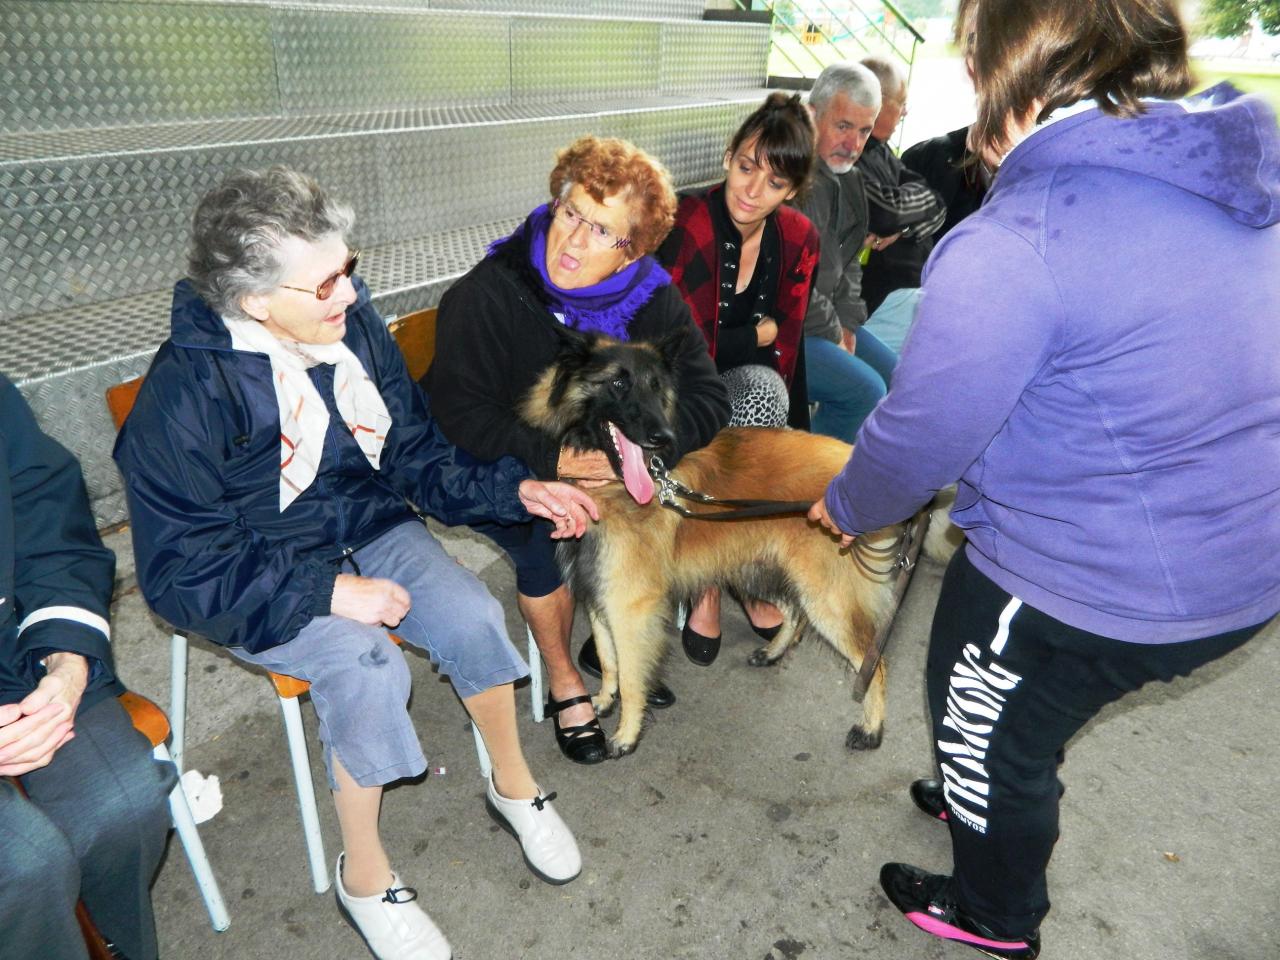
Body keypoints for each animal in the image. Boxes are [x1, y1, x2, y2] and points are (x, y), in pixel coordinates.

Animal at [522, 330, 911, 757]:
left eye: (656, 387)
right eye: (619, 383)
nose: (663, 437)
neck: (613, 486)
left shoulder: (629, 607)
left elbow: (629, 674)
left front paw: (626, 734)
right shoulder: (597, 596)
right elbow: (609, 661)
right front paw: (605, 702)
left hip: (825, 597)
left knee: (874, 663)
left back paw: (871, 729)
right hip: (761, 569)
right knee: (794, 614)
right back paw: (773, 652)